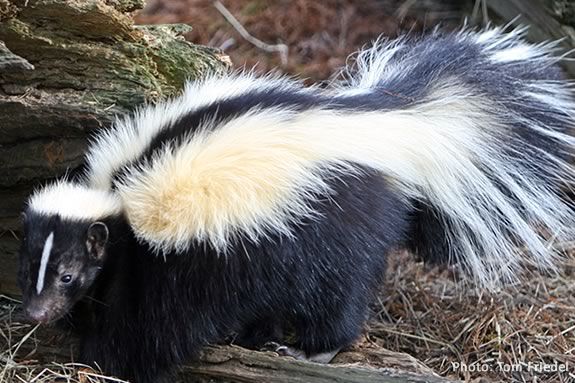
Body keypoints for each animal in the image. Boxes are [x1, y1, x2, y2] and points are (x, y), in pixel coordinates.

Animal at [16, 27, 575, 383]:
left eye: (68, 274)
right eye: (27, 271)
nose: (35, 314)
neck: (117, 201)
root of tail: (392, 126)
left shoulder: (167, 263)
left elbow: (151, 328)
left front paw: (102, 358)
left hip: (336, 225)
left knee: (339, 296)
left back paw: (313, 348)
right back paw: (259, 336)